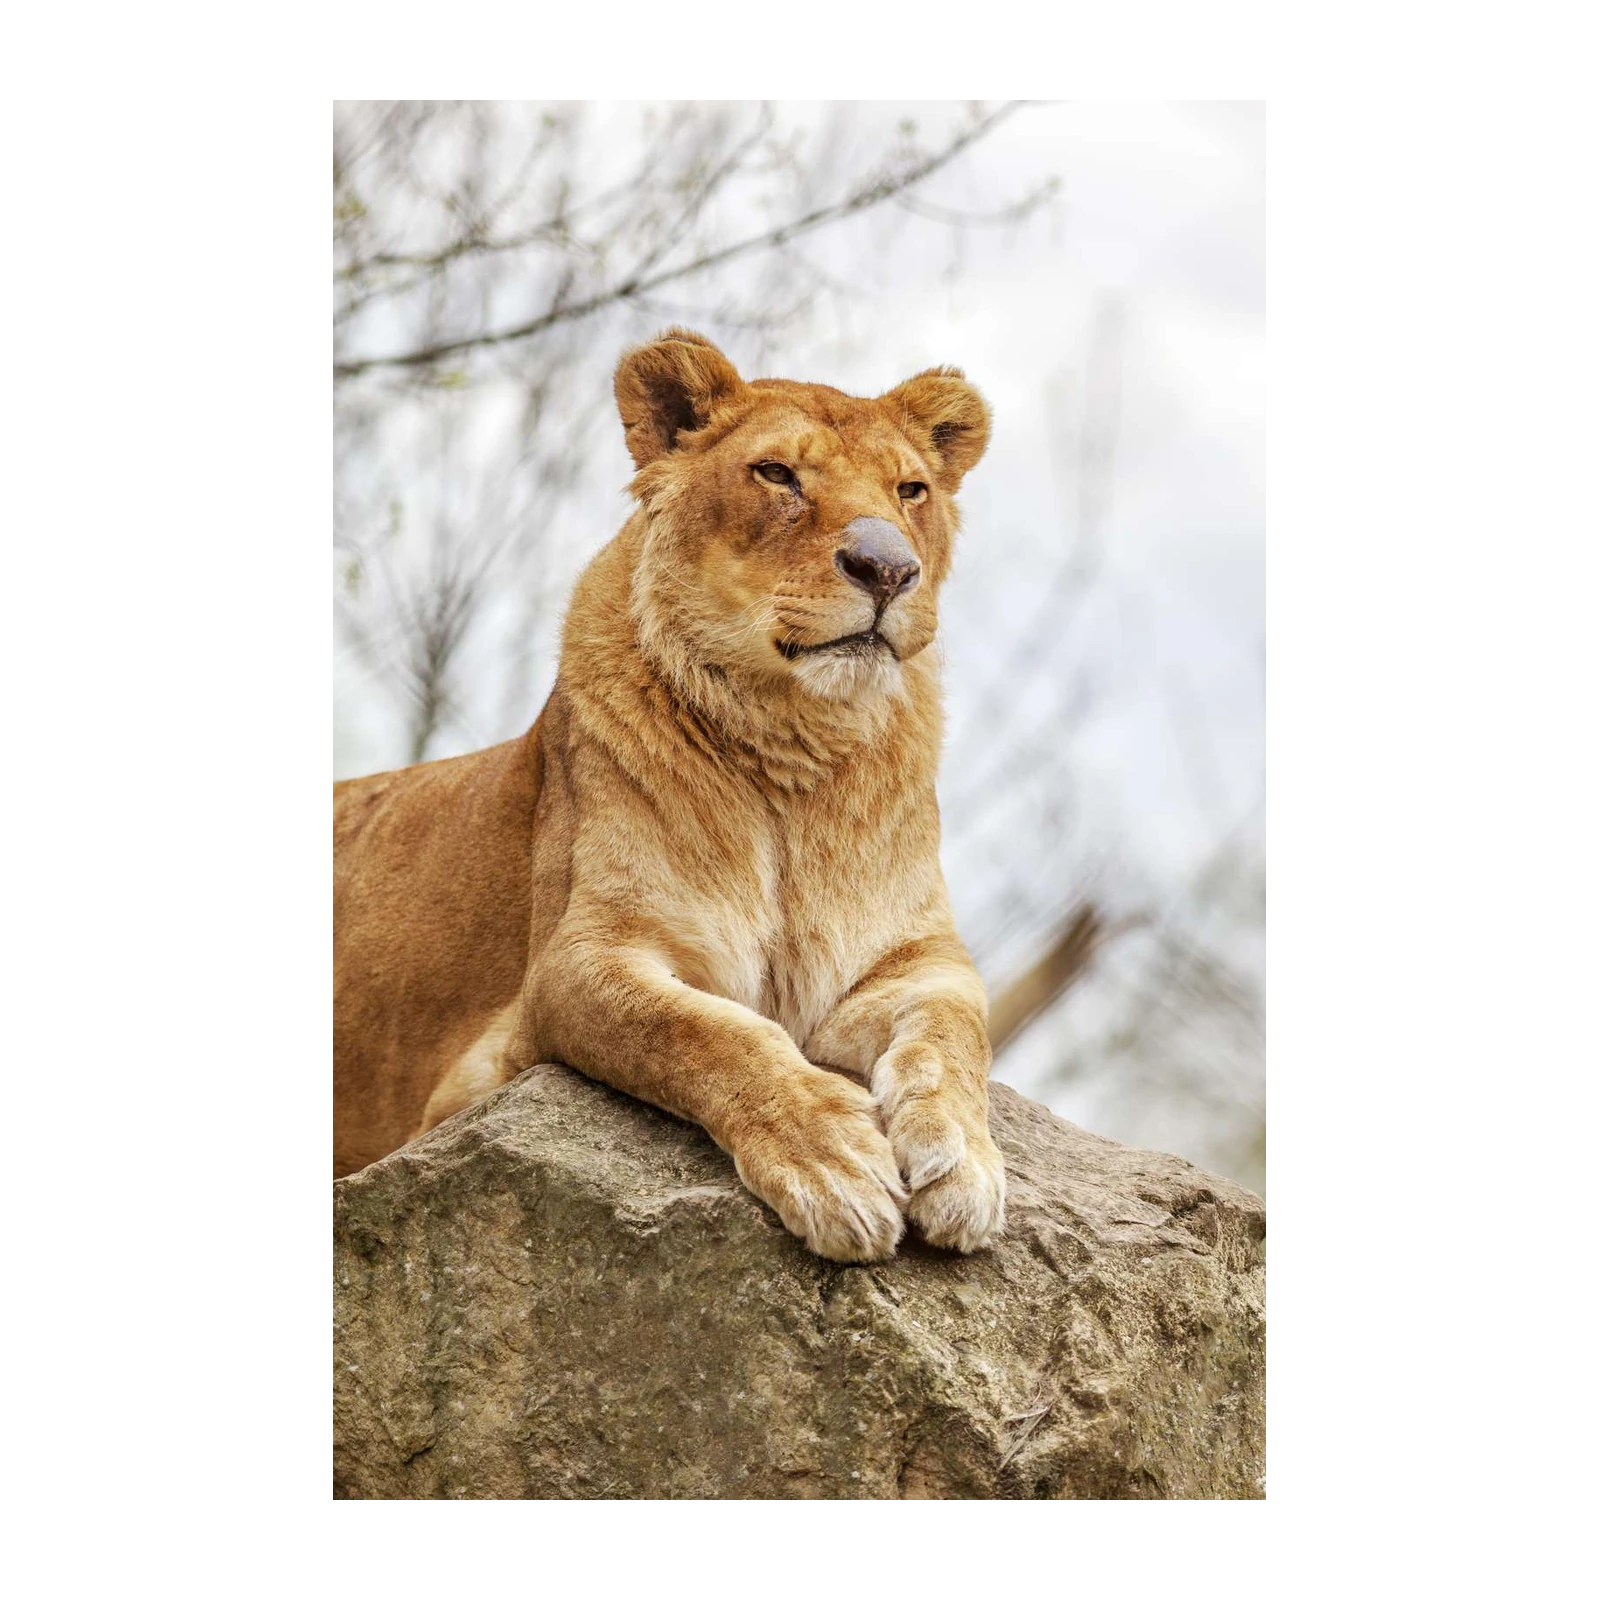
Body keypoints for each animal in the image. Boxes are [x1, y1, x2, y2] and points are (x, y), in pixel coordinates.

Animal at [331, 328, 1006, 1262]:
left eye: (911, 491)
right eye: (777, 474)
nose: (888, 568)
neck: (795, 748)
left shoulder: (916, 958)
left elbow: (956, 1035)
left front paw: (963, 1163)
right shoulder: (572, 968)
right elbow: (708, 1033)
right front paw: (832, 1160)